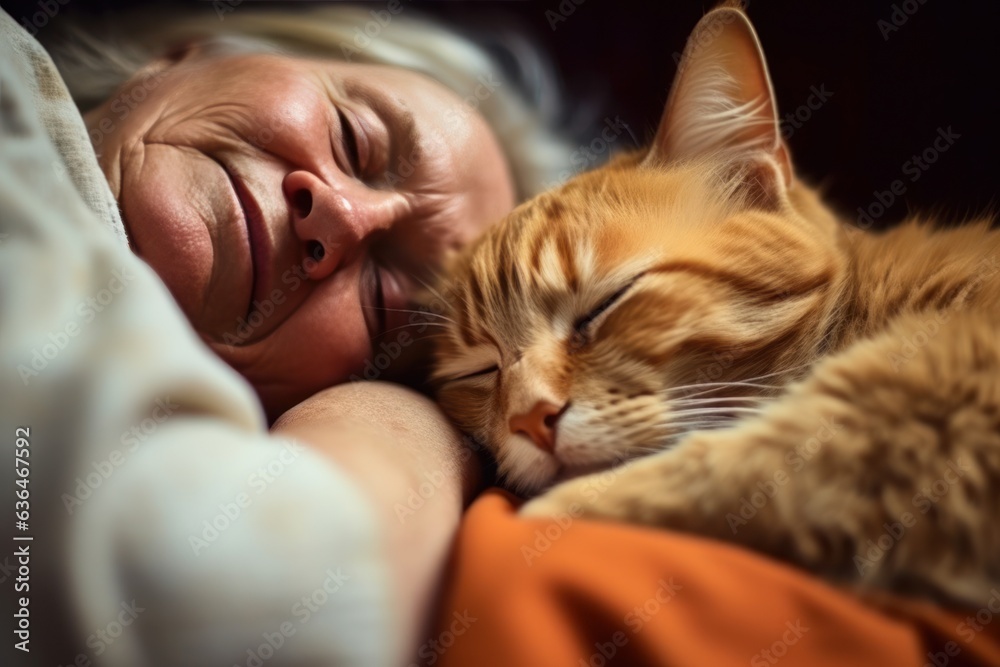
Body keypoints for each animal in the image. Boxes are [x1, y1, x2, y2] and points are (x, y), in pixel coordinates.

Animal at [430, 3, 1000, 604]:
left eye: (606, 304)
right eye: (478, 369)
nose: (529, 418)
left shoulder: (934, 392)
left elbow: (741, 465)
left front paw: (557, 508)